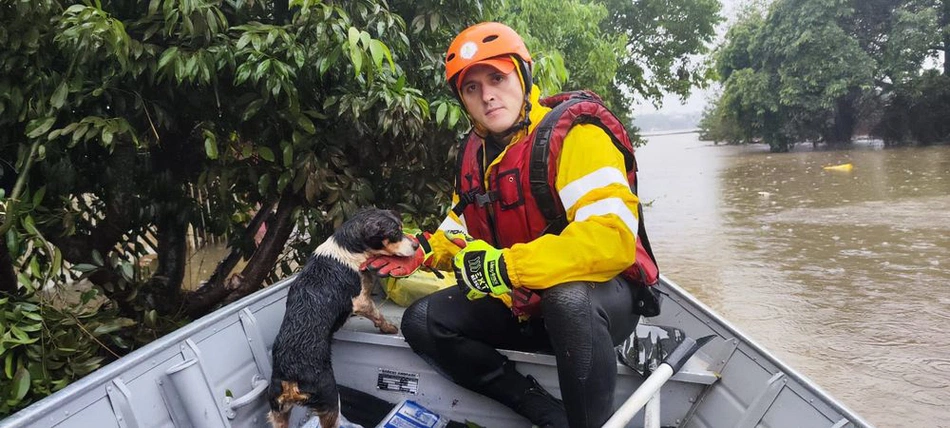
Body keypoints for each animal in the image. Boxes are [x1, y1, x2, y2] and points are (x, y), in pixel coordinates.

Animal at [266, 208, 418, 428]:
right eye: (395, 233)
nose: (417, 245)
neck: (348, 247)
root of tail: (291, 376)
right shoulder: (361, 300)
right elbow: (378, 315)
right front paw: (389, 328)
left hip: (278, 413)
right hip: (331, 399)